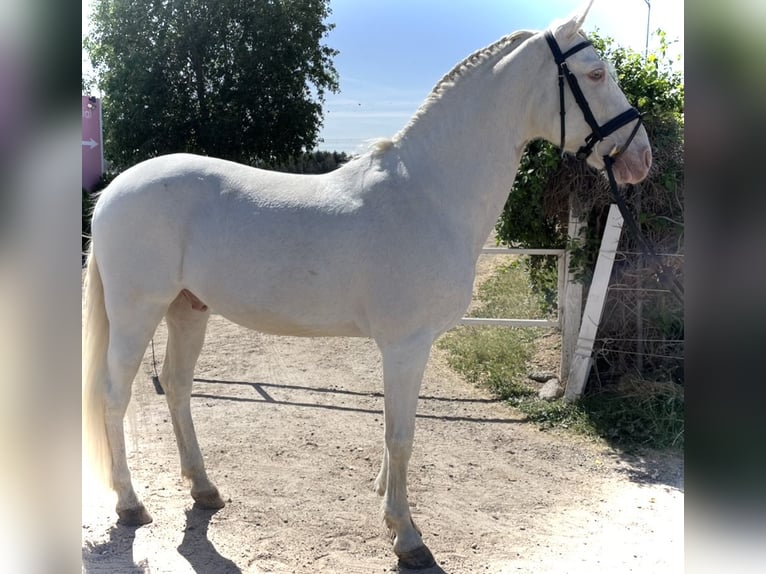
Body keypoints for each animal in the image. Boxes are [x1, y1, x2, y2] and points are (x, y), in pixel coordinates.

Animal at [85, 4, 656, 572]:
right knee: (115, 395)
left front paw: (386, 500)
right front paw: (406, 535)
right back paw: (130, 504)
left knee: (177, 387)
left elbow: (392, 431)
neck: (427, 195)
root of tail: (114, 189)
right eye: (596, 74)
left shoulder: (405, 348)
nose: (641, 159)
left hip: (189, 309)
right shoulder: (405, 345)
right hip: (138, 311)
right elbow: (401, 436)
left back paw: (204, 489)